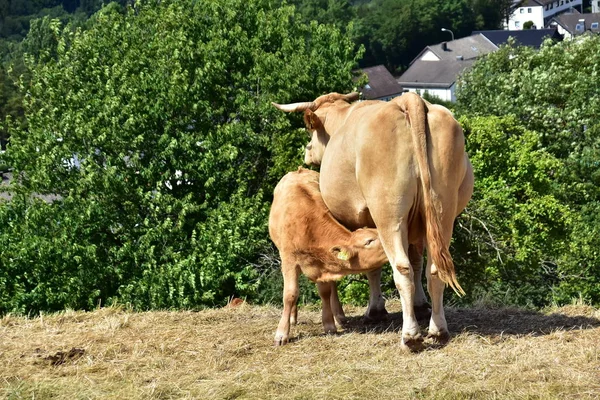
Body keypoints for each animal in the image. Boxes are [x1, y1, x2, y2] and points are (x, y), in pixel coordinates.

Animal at [268, 167, 390, 346]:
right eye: (369, 241)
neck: (307, 224)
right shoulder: (289, 260)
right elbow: (290, 294)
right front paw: (281, 334)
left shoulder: (322, 265)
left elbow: (325, 292)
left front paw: (330, 324)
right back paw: (293, 318)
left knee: (333, 289)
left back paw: (339, 316)